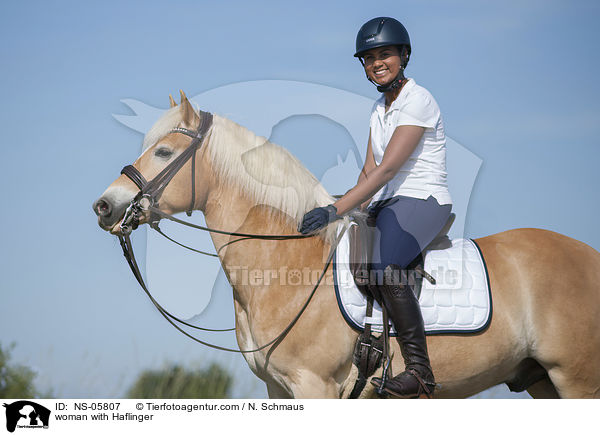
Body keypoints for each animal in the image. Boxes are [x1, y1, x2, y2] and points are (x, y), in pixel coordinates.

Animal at [94, 93, 600, 400]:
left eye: (163, 153)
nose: (105, 206)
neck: (288, 260)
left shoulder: (314, 386)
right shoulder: (279, 390)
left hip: (577, 380)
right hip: (541, 381)